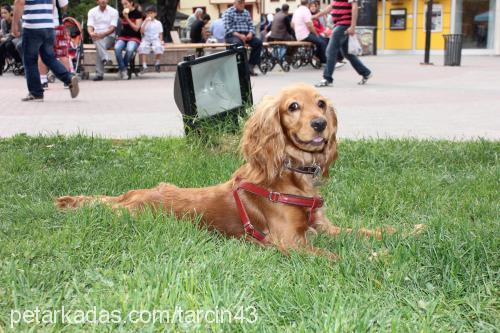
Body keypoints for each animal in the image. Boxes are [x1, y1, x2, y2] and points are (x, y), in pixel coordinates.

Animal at [57, 83, 390, 260]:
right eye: (293, 106)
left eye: (321, 104)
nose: (320, 124)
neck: (293, 175)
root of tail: (127, 197)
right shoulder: (289, 242)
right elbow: (336, 255)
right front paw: (375, 258)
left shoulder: (322, 227)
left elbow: (364, 231)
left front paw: (397, 234)